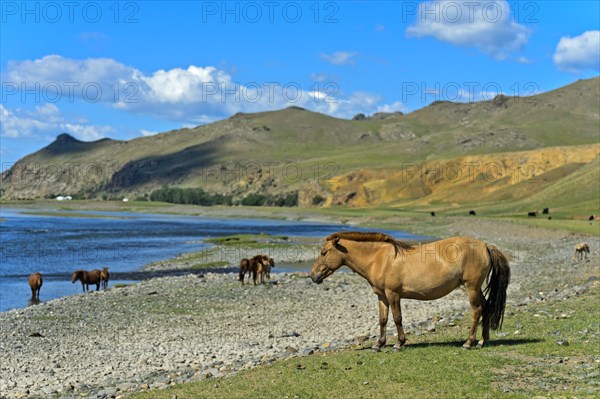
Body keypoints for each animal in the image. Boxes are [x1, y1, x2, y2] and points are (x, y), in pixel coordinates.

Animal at [310, 233, 510, 352]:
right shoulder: (382, 296)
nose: (313, 276)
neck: (380, 259)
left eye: (324, 252)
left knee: (477, 311)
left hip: (471, 288)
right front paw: (378, 344)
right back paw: (483, 340)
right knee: (486, 307)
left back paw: (469, 342)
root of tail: (485, 246)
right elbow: (383, 320)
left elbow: (397, 318)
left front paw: (399, 343)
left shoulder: (393, 294)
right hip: (476, 289)